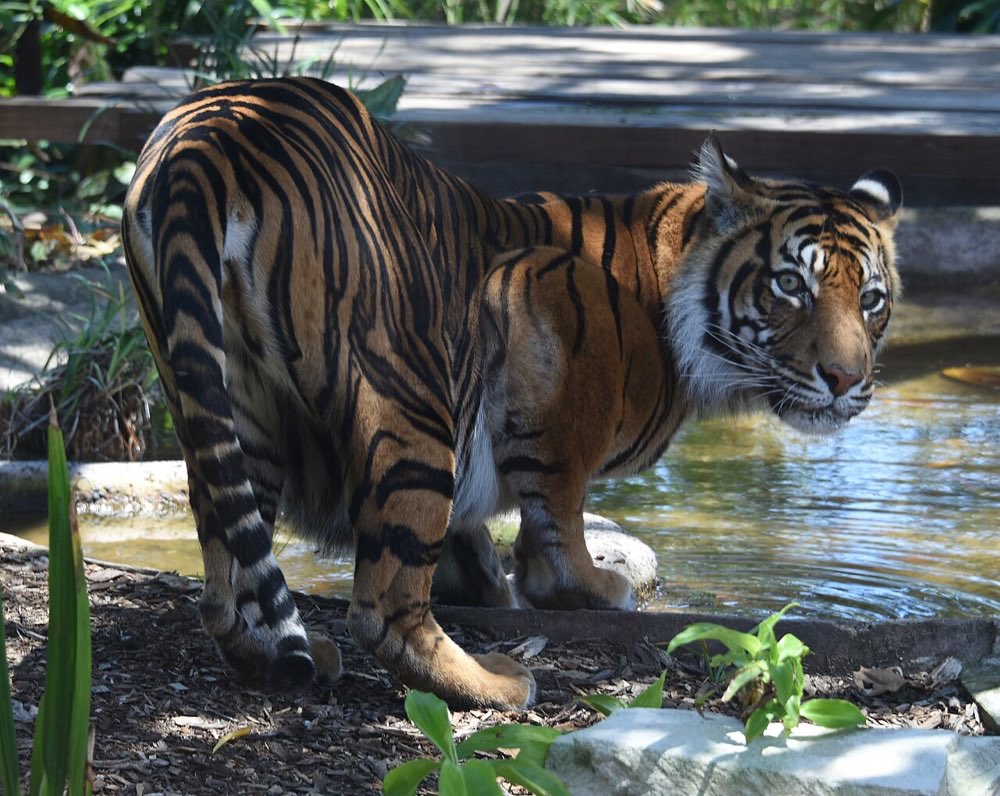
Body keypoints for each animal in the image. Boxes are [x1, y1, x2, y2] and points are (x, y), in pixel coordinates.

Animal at [121, 76, 901, 711]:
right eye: (790, 285)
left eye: (870, 299)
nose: (846, 379)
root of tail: (210, 134)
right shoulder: (544, 302)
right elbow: (559, 505)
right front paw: (581, 587)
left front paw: (491, 581)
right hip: (407, 392)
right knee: (384, 605)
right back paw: (496, 684)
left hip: (221, 396)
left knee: (224, 573)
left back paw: (284, 652)